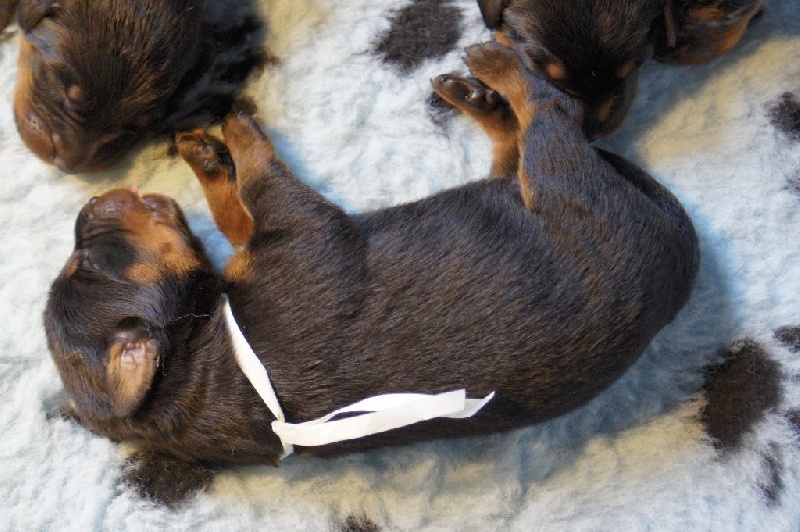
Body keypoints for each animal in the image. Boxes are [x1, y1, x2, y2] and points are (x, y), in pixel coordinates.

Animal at [44, 42, 699, 505]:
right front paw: (238, 127)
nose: (90, 205)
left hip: (527, 188)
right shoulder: (302, 228)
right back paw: (497, 66)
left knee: (513, 152)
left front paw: (205, 153)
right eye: (88, 262)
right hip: (569, 189)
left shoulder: (262, 245)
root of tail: (680, 249)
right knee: (552, 116)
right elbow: (261, 177)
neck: (195, 357)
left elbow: (236, 210)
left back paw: (474, 94)